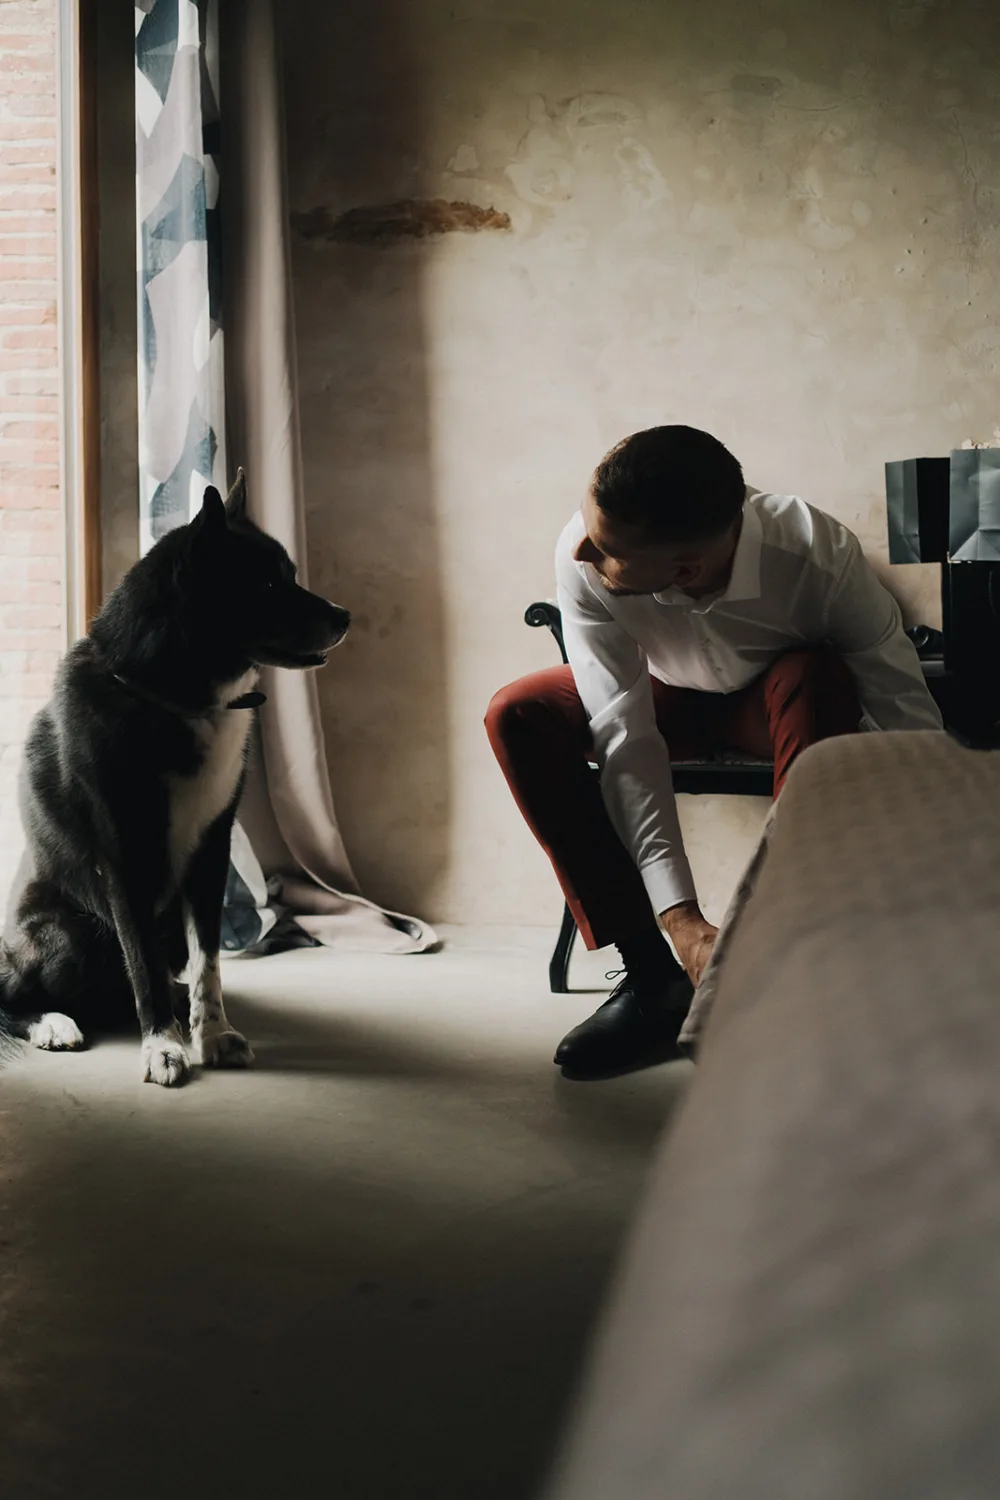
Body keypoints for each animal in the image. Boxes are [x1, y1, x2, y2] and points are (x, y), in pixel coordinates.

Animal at [0, 474, 352, 1086]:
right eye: (265, 582)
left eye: (289, 574)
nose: (345, 615)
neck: (175, 697)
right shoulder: (124, 860)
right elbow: (140, 961)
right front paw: (162, 1046)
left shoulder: (211, 852)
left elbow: (209, 959)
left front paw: (210, 1033)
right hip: (64, 933)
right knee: (14, 999)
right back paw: (54, 1022)